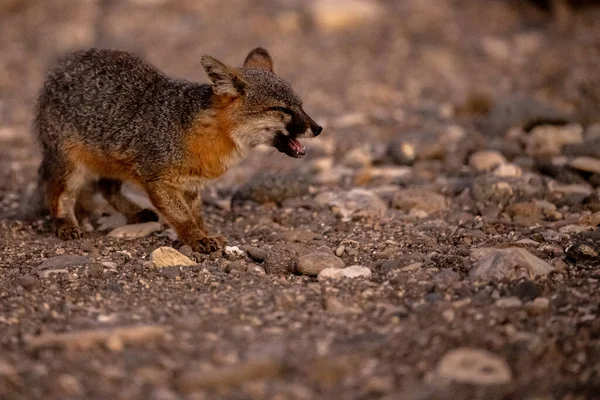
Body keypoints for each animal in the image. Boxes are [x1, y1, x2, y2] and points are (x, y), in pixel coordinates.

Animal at [31, 47, 324, 253]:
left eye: (300, 106)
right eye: (281, 110)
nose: (318, 128)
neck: (207, 133)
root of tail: (60, 66)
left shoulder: (191, 184)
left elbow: (196, 215)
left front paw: (206, 234)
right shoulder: (158, 181)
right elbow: (183, 217)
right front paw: (197, 240)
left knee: (106, 187)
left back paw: (134, 213)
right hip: (71, 168)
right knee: (56, 194)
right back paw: (65, 224)